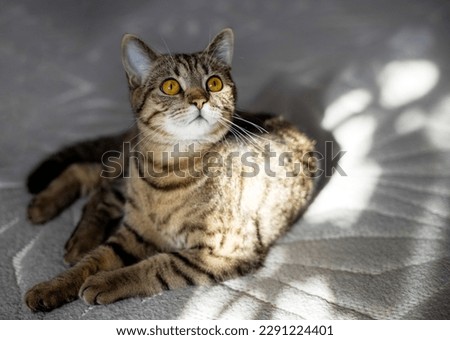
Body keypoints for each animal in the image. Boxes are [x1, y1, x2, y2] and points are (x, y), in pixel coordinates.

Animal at [24, 27, 316, 312]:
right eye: (171, 86)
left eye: (214, 83)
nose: (199, 100)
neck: (169, 168)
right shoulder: (135, 232)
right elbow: (93, 261)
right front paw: (51, 287)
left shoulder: (223, 251)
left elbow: (158, 265)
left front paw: (105, 281)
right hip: (125, 171)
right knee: (94, 180)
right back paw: (60, 223)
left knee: (94, 184)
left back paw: (71, 234)